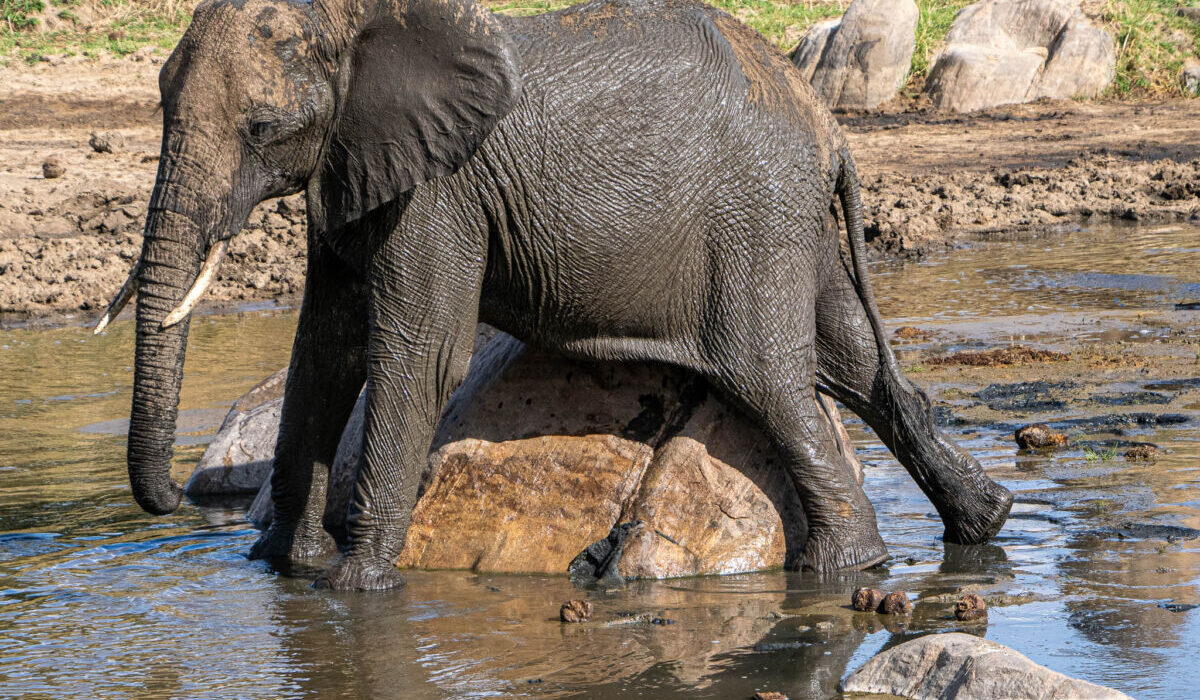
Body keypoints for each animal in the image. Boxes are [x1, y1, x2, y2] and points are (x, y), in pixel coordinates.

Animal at [97, 0, 1013, 590]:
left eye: (262, 130)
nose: (171, 500)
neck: (356, 17)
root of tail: (829, 127)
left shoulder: (440, 192)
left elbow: (417, 359)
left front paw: (356, 586)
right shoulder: (353, 174)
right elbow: (323, 353)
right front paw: (280, 568)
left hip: (755, 220)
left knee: (774, 379)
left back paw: (843, 570)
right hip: (792, 225)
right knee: (852, 359)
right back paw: (986, 519)